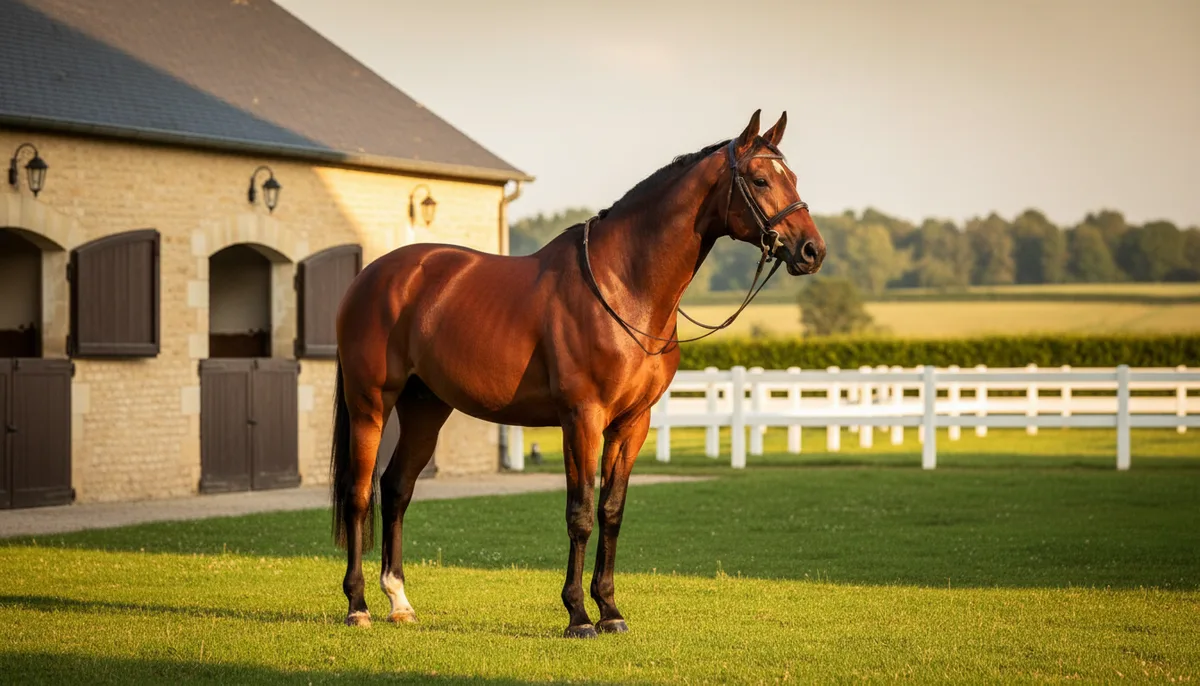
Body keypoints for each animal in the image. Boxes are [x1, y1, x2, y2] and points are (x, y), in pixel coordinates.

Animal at [329, 109, 826, 637]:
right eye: (760, 179)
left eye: (793, 177)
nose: (813, 251)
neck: (624, 286)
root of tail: (370, 277)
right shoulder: (582, 418)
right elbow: (581, 513)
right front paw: (578, 615)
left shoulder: (632, 423)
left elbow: (611, 511)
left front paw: (610, 609)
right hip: (371, 403)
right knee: (359, 494)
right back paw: (358, 605)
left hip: (426, 408)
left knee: (396, 489)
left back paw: (399, 601)